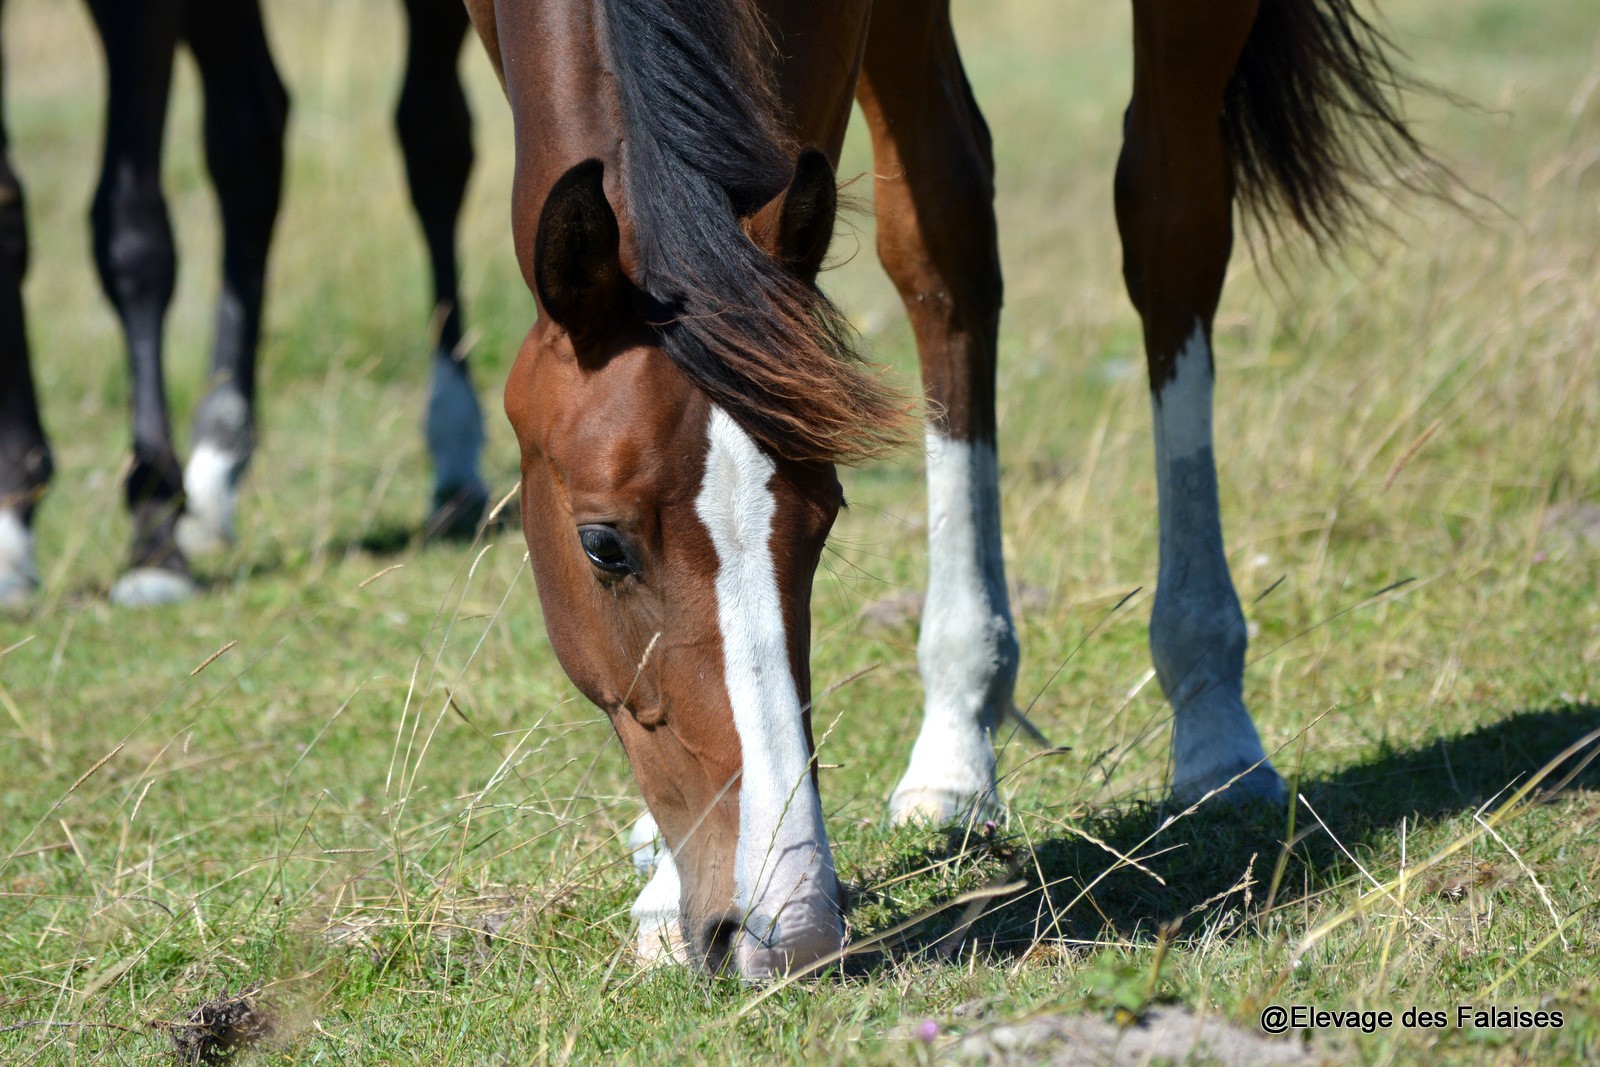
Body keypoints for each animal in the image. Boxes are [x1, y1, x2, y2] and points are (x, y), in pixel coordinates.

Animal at [460, 0, 1427, 979]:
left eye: (825, 521)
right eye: (603, 545)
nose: (789, 929)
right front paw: (665, 875)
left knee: (1168, 212)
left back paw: (1210, 728)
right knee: (947, 233)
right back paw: (957, 744)